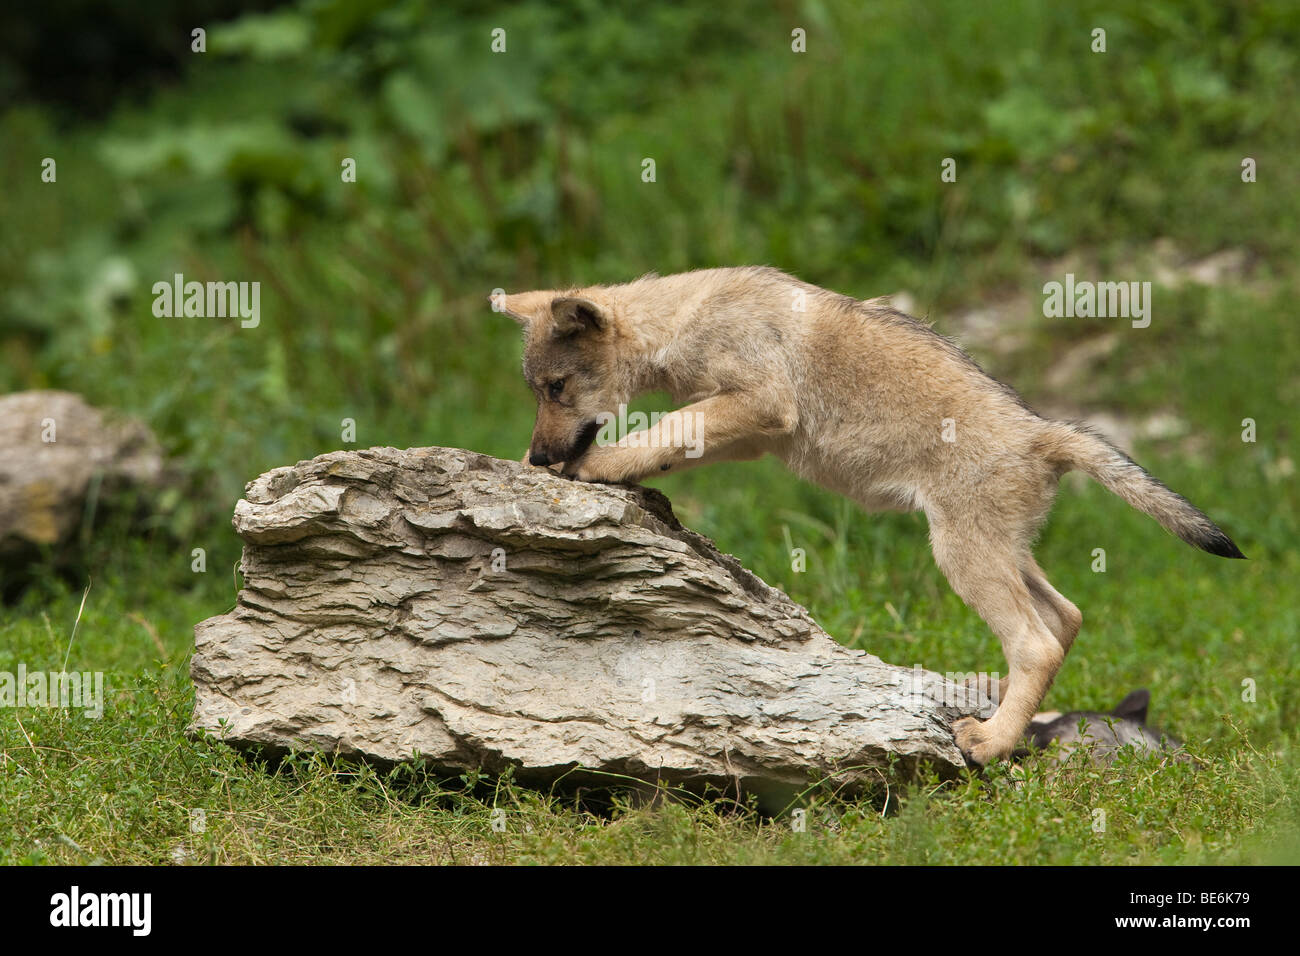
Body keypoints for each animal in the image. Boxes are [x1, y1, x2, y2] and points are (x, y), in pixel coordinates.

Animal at [497, 266, 1243, 766]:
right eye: (537, 392)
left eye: (555, 388)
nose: (536, 458)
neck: (684, 318)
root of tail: (1045, 433)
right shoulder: (749, 433)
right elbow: (668, 444)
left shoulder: (757, 404)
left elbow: (661, 432)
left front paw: (594, 467)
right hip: (1001, 552)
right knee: (1066, 620)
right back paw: (999, 707)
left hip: (961, 554)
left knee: (1036, 641)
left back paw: (990, 741)